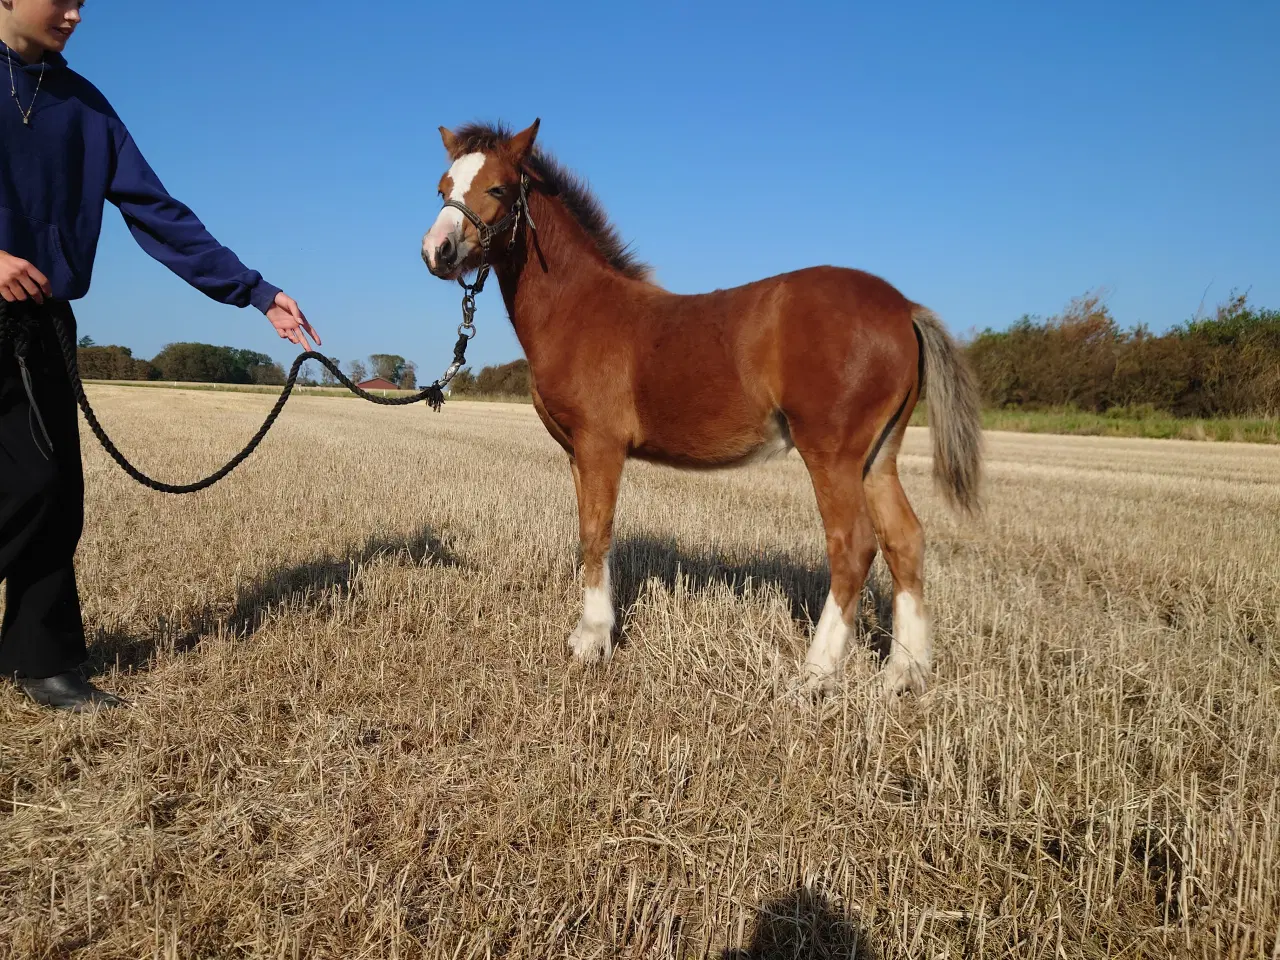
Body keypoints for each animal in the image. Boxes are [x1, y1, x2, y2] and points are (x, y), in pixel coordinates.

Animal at [419, 120, 977, 696]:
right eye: (442, 189)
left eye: (499, 188)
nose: (437, 251)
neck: (580, 308)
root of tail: (905, 307)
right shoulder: (577, 453)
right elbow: (588, 534)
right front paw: (586, 636)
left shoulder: (600, 446)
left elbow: (597, 534)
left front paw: (593, 642)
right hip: (878, 456)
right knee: (904, 539)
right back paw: (904, 674)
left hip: (833, 454)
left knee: (854, 546)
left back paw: (814, 675)